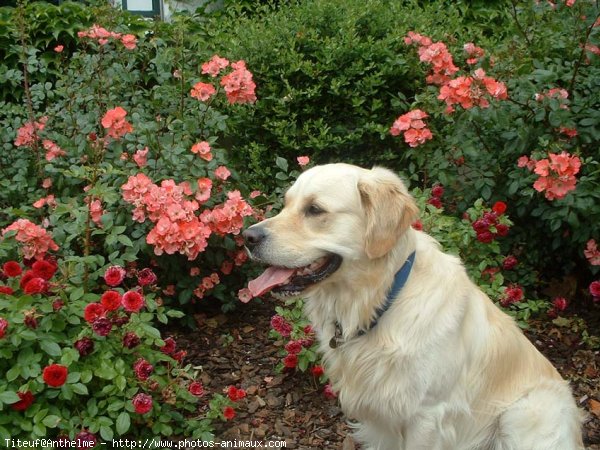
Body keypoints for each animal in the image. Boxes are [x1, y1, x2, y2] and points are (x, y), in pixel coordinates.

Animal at [241, 163, 584, 448]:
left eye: (314, 209)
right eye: (286, 204)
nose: (247, 236)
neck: (381, 299)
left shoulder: (427, 416)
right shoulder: (380, 418)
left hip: (525, 413)